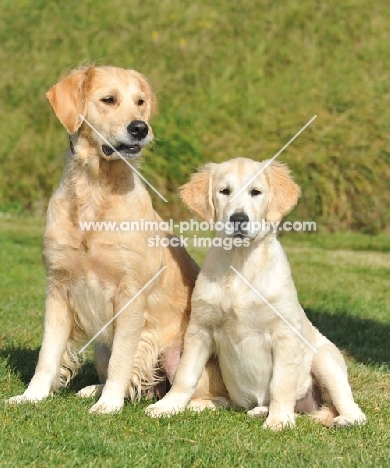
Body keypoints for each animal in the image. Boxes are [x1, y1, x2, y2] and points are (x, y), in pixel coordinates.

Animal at [147, 159, 368, 430]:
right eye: (224, 191)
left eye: (256, 192)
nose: (238, 219)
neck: (241, 263)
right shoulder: (200, 328)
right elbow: (185, 374)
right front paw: (168, 406)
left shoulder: (285, 333)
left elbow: (281, 383)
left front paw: (280, 420)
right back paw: (251, 409)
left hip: (325, 359)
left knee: (348, 403)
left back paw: (343, 418)